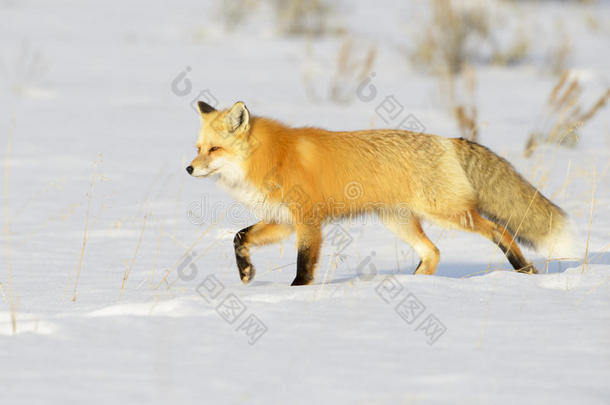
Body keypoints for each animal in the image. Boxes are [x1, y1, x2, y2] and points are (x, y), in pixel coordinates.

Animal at [185, 100, 576, 284]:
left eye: (214, 150)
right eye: (198, 148)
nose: (188, 169)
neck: (272, 158)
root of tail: (446, 139)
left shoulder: (308, 221)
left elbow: (304, 266)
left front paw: (295, 293)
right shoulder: (282, 220)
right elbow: (239, 237)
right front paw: (246, 273)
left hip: (448, 214)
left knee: (500, 230)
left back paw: (523, 269)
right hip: (399, 221)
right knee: (433, 252)